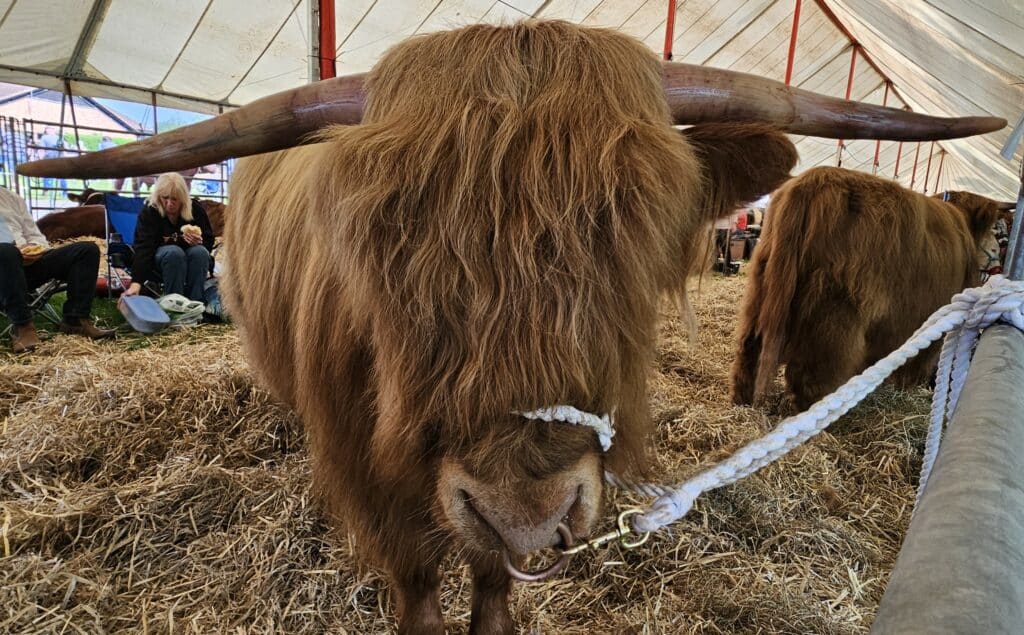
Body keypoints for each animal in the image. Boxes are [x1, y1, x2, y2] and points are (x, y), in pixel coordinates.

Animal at [731, 166, 1012, 411]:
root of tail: (815, 179)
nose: (998, 259)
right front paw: (908, 386)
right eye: (997, 232)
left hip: (761, 288)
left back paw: (742, 401)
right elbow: (920, 357)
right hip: (835, 315)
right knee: (811, 376)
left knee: (749, 351)